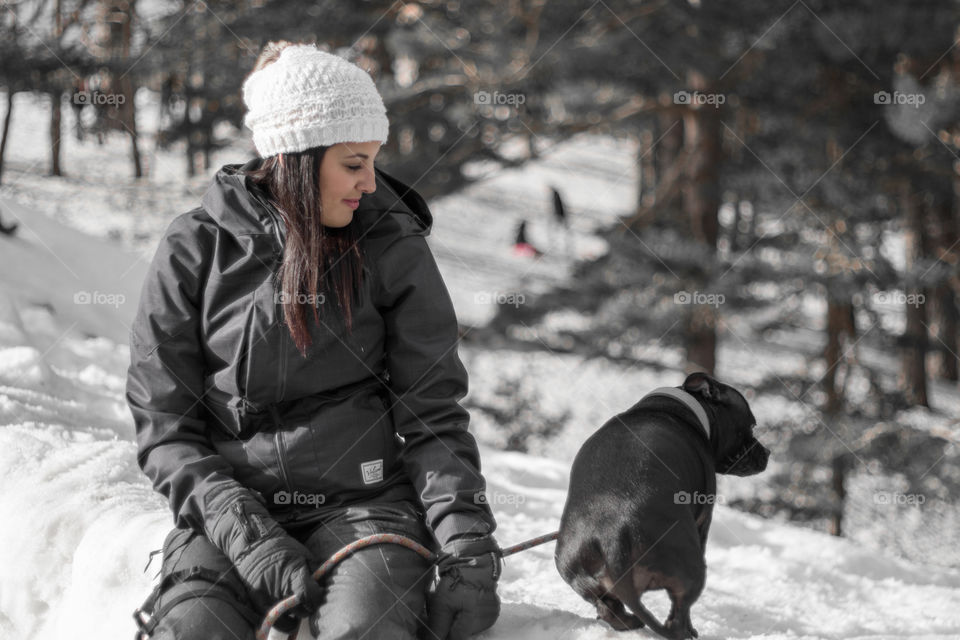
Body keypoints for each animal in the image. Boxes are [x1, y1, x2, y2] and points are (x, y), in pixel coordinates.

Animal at [556, 372, 764, 636]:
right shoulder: (703, 521)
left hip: (578, 572)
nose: (767, 453)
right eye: (752, 425)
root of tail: (611, 535)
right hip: (690, 569)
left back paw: (629, 622)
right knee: (678, 614)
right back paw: (685, 632)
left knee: (609, 608)